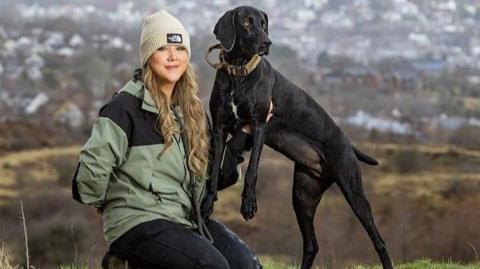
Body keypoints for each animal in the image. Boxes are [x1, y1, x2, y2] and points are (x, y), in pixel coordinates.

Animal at [202, 5, 394, 268]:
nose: (267, 43)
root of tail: (348, 143)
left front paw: (248, 203)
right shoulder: (220, 129)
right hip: (303, 197)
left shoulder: (259, 126)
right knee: (312, 244)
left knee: (379, 240)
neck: (238, 73)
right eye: (247, 23)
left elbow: (251, 171)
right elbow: (214, 172)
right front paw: (207, 202)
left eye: (263, 24)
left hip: (354, 192)